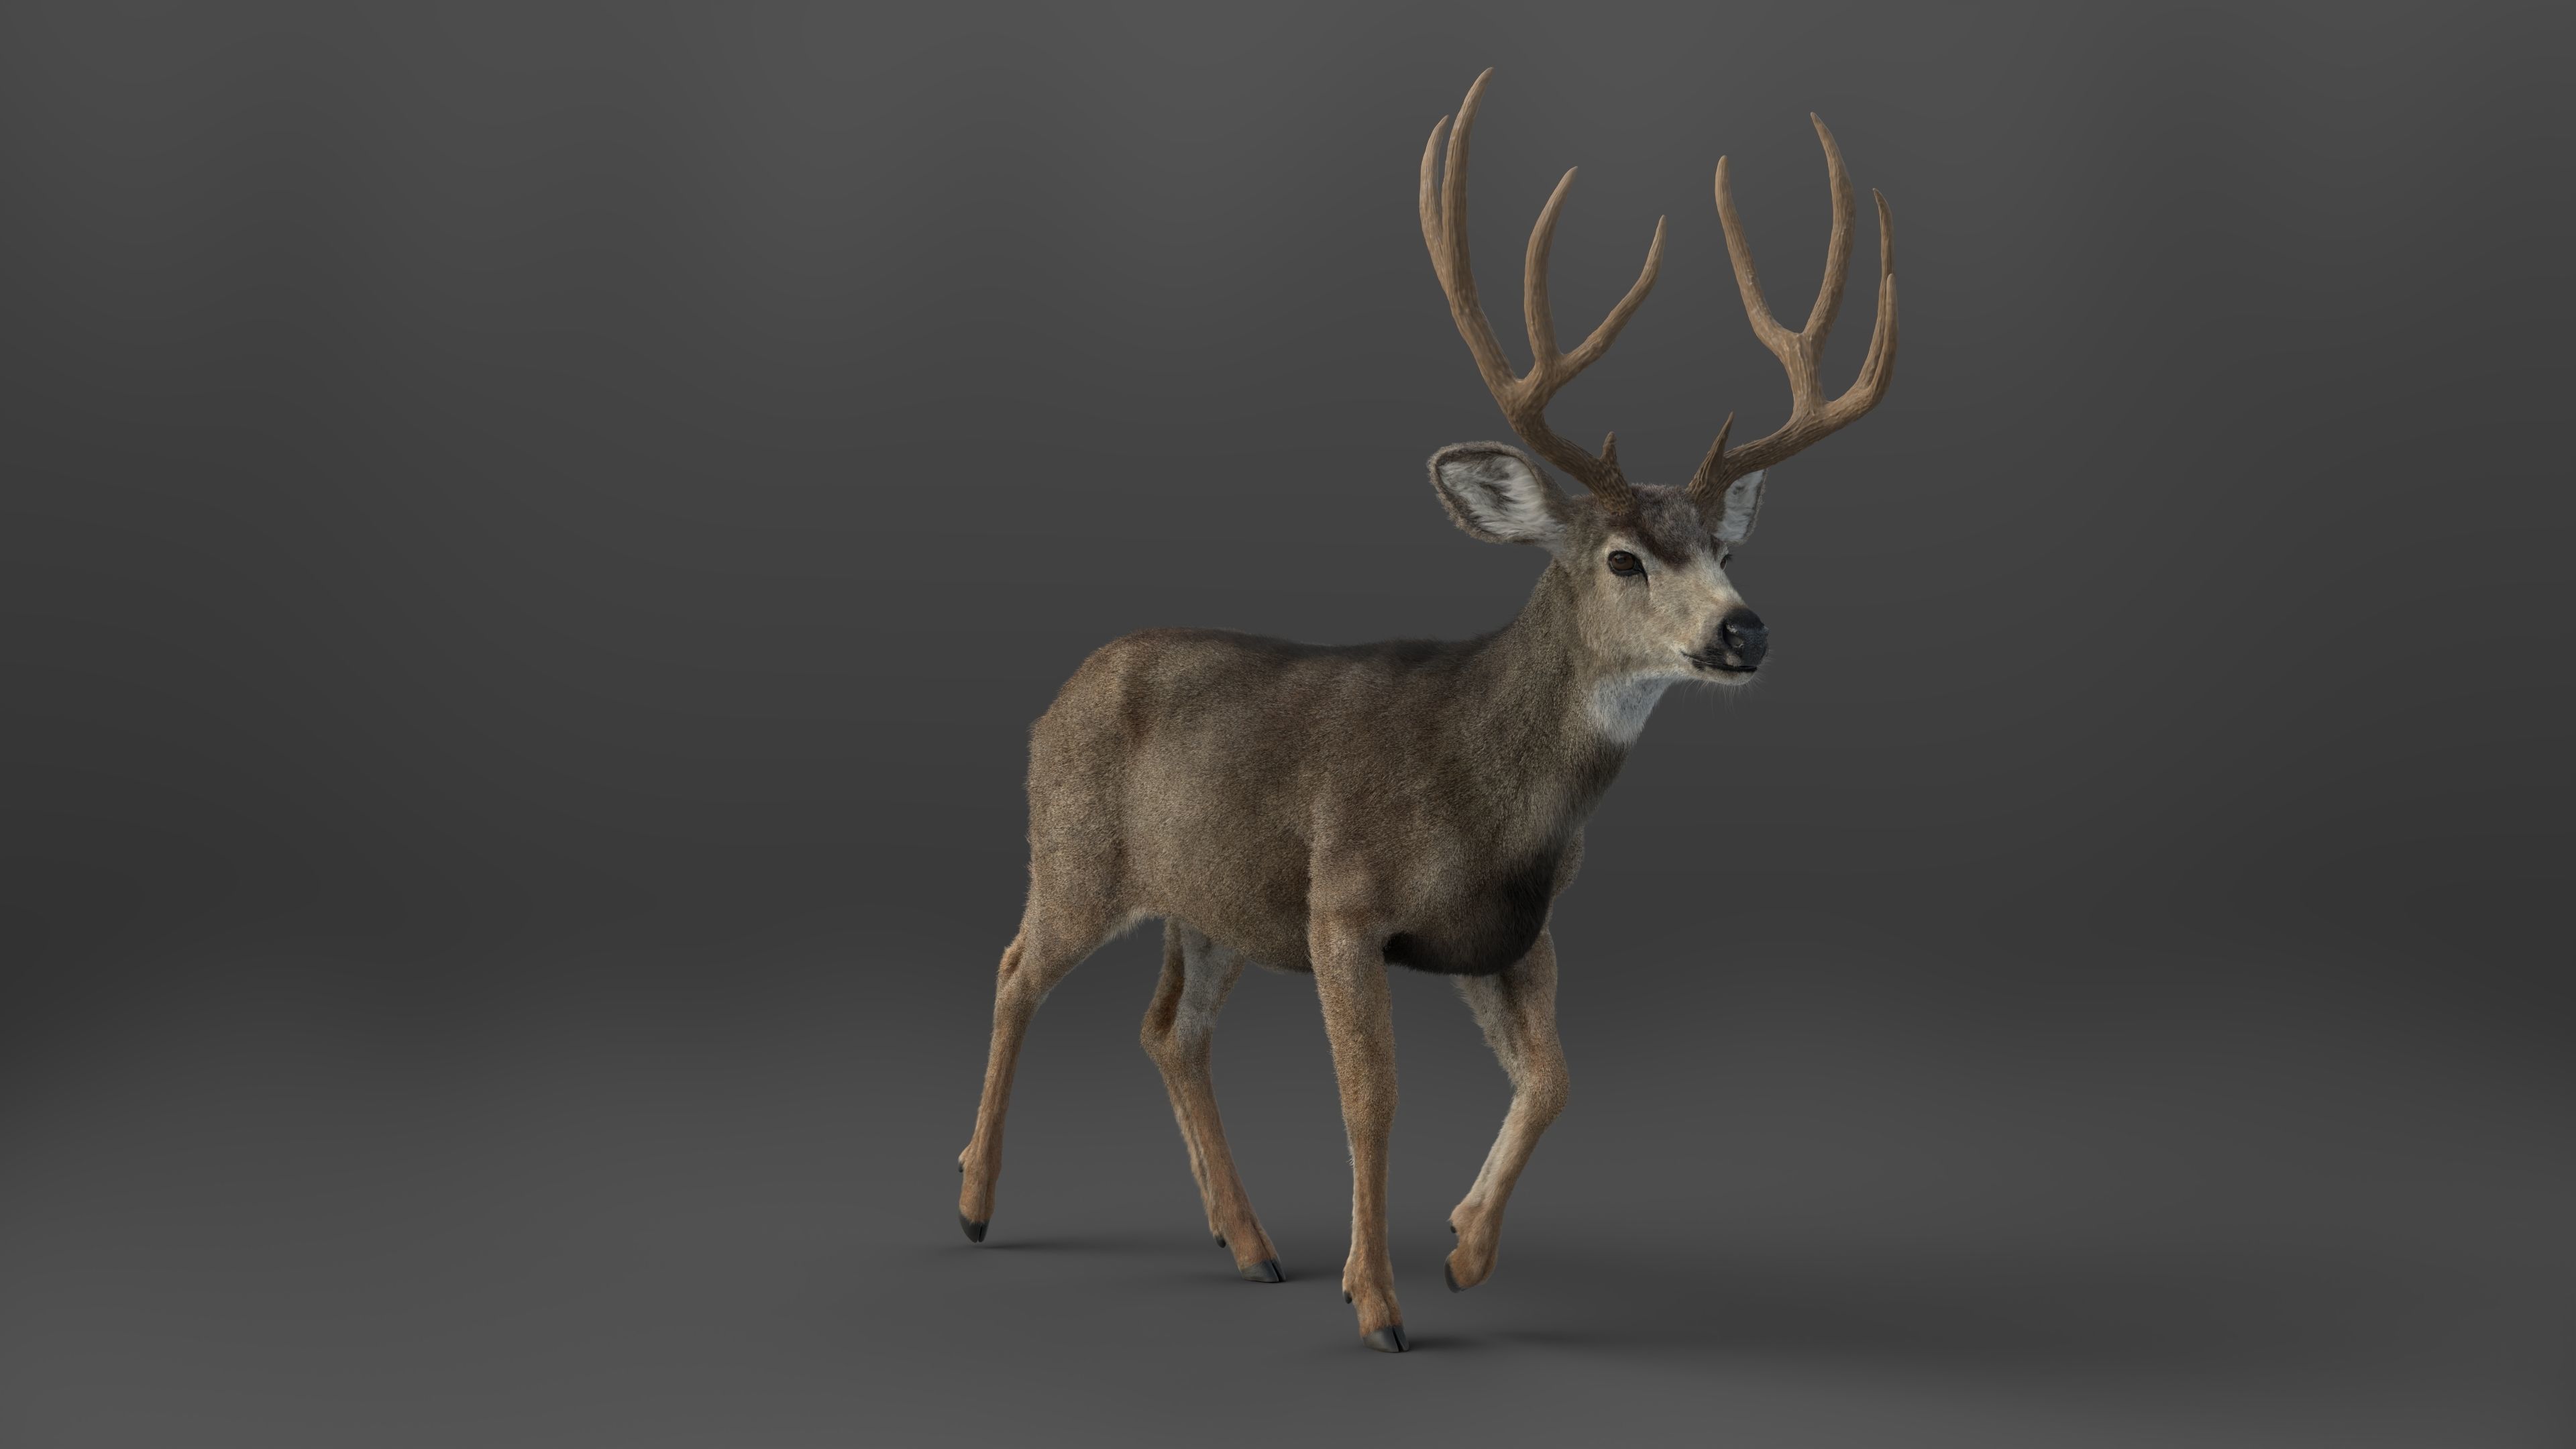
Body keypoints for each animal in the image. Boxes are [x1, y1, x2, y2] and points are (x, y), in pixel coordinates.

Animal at [954, 68, 1898, 1352]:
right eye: (1623, 559)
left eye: (1722, 550)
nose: (1744, 631)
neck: (1490, 796)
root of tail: (1060, 692)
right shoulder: (1345, 905)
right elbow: (1372, 1102)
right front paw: (1380, 1306)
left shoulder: (1510, 933)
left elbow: (1553, 1081)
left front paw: (1461, 1252)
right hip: (1076, 855)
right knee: (1014, 969)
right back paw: (976, 1204)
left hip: (1211, 902)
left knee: (1168, 1030)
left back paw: (1247, 1243)